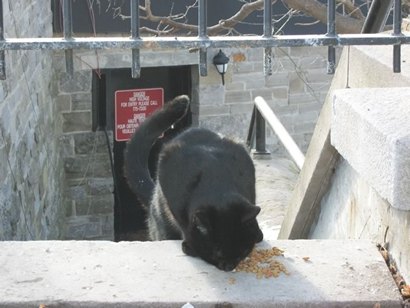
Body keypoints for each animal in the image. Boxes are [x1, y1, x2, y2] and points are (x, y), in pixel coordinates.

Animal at [124, 95, 262, 270]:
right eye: (217, 254)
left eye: (242, 251)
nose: (229, 267)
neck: (216, 180)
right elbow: (184, 227)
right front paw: (189, 246)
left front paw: (258, 234)